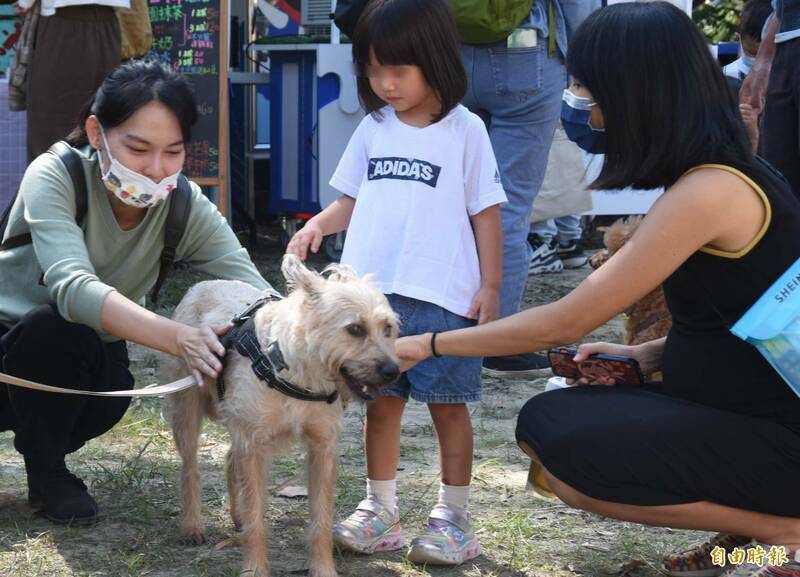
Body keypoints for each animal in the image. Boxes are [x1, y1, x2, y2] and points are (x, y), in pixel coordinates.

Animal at [162, 254, 400, 576]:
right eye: (355, 329)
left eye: (388, 328)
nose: (393, 371)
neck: (296, 370)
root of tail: (202, 284)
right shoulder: (253, 446)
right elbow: (256, 520)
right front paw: (254, 570)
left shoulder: (322, 449)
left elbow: (321, 520)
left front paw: (323, 569)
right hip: (188, 411)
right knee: (190, 468)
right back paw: (192, 525)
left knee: (229, 458)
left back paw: (235, 516)